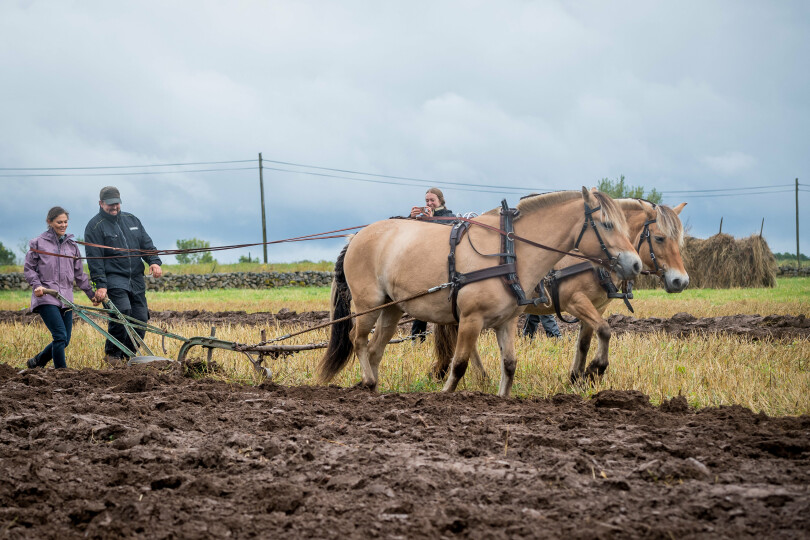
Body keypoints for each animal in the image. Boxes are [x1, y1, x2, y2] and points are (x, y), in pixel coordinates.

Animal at [316, 187, 644, 397]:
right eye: (607, 224)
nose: (636, 264)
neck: (509, 251)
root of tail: (358, 235)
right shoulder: (471, 319)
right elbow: (459, 364)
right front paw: (444, 395)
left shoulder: (506, 322)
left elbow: (509, 365)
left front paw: (500, 398)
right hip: (367, 303)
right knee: (357, 340)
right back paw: (368, 382)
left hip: (392, 307)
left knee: (375, 348)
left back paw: (373, 387)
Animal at [432, 199, 688, 384]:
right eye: (659, 238)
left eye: (679, 241)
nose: (681, 281)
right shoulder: (576, 301)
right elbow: (605, 330)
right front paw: (594, 370)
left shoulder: (596, 307)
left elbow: (586, 341)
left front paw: (576, 377)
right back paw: (478, 376)